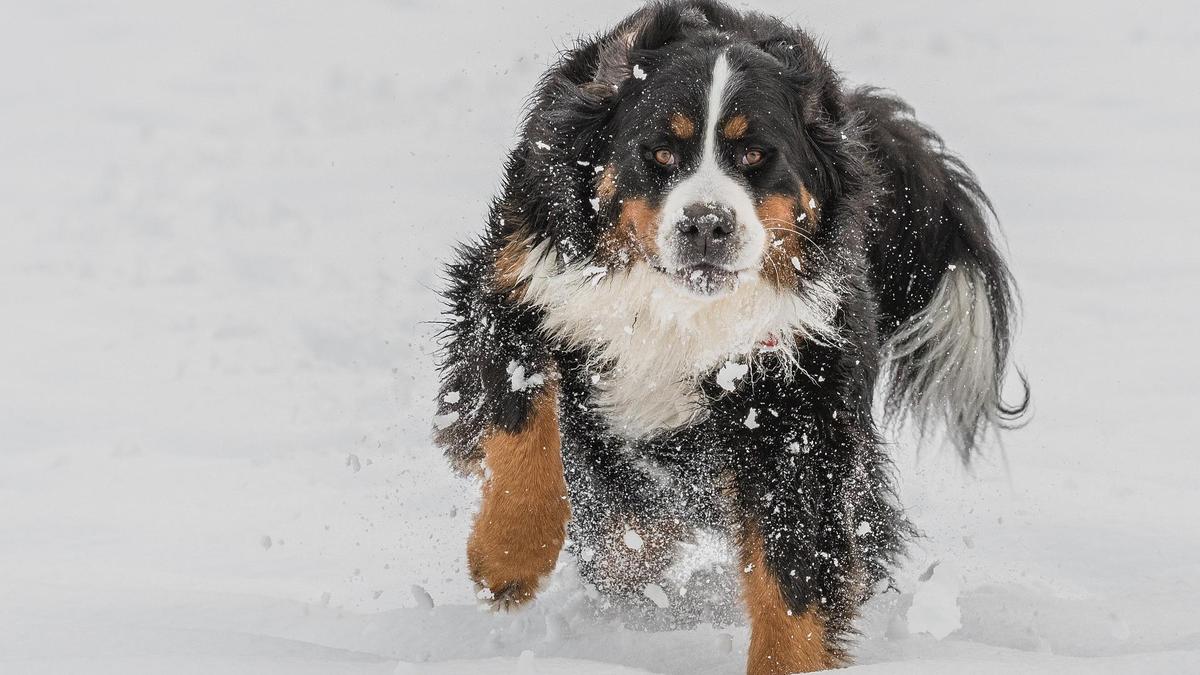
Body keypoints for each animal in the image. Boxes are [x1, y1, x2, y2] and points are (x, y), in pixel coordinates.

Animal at [436, 2, 1027, 667]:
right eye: (660, 153)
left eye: (755, 157)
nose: (706, 224)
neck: (676, 312)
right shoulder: (517, 287)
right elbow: (522, 425)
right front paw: (507, 558)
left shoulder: (790, 402)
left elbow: (793, 573)